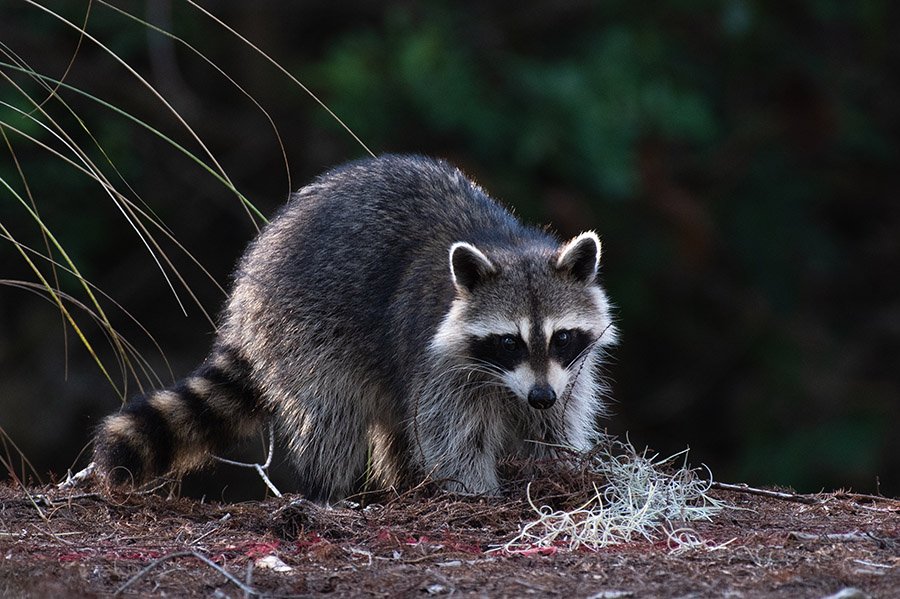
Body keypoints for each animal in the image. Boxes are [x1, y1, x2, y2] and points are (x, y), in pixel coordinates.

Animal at [94, 155, 617, 501]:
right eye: (509, 342)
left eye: (561, 337)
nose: (540, 396)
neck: (508, 245)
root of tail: (248, 282)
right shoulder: (437, 358)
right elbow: (452, 433)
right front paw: (474, 491)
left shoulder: (566, 372)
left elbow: (555, 421)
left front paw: (559, 468)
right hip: (304, 329)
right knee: (333, 414)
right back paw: (328, 492)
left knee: (395, 421)